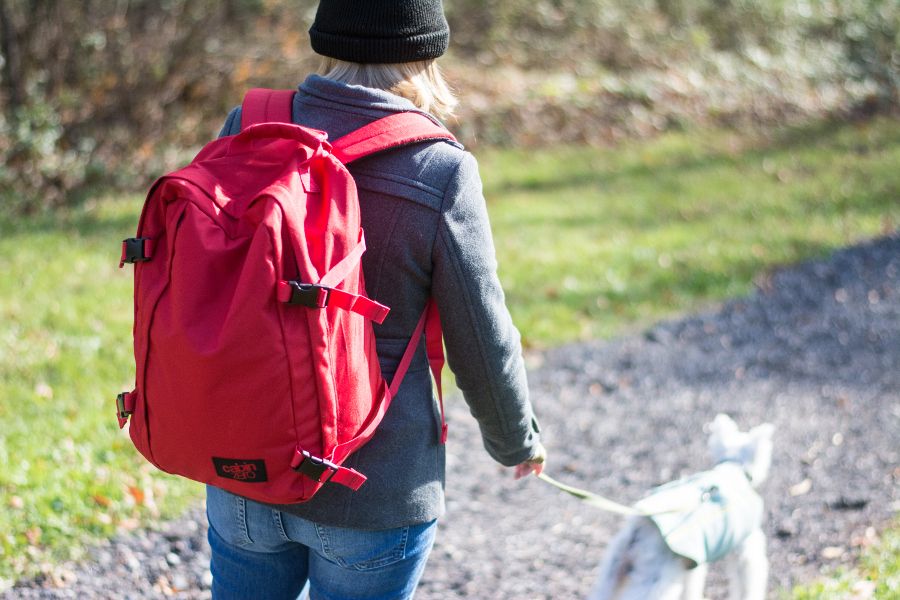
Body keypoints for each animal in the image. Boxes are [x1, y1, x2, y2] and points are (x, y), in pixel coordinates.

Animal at [592, 414, 772, 600]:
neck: (732, 470)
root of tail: (638, 534)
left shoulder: (693, 563)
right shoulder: (746, 551)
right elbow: (749, 584)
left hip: (610, 577)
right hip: (654, 585)